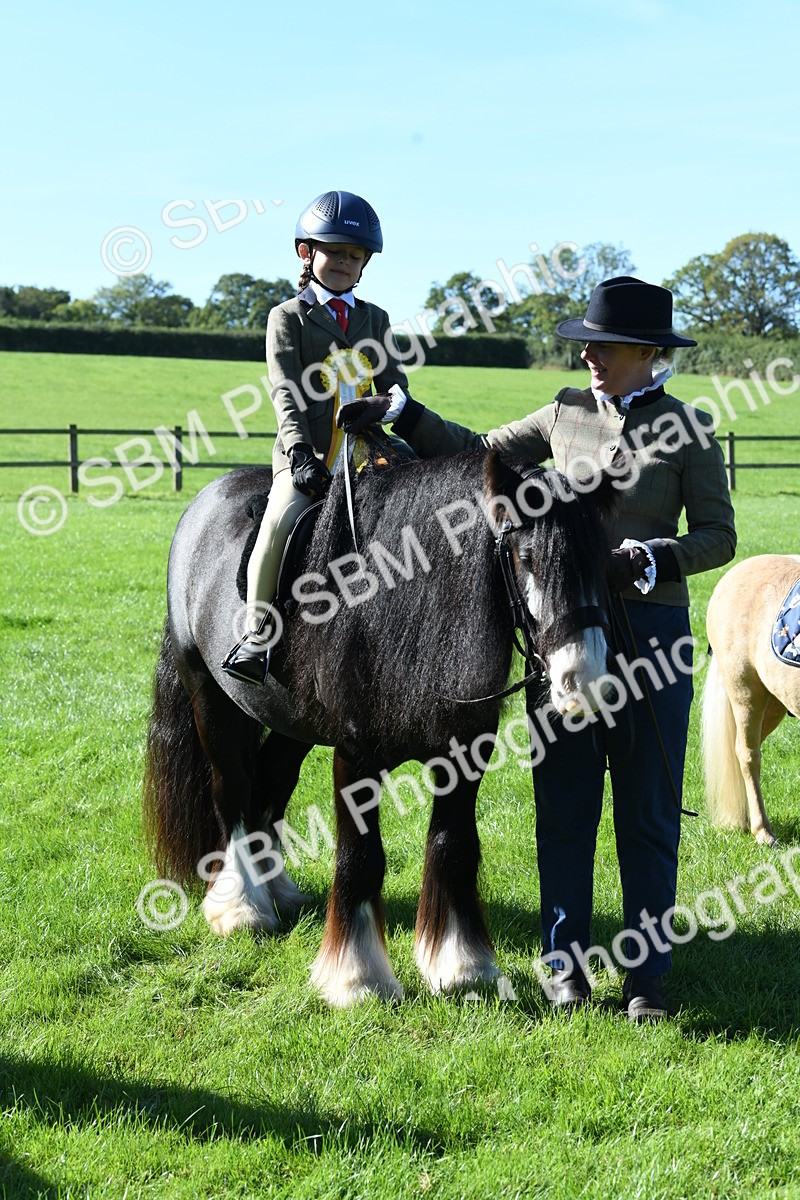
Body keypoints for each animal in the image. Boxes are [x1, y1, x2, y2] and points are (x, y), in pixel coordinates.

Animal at [143, 448, 615, 1006]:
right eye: (526, 557)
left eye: (601, 560)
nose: (585, 679)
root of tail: (205, 501)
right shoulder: (355, 757)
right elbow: (361, 855)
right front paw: (358, 976)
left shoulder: (463, 754)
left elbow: (453, 844)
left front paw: (462, 965)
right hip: (210, 698)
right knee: (233, 790)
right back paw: (241, 906)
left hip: (290, 725)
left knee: (272, 784)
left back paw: (273, 886)